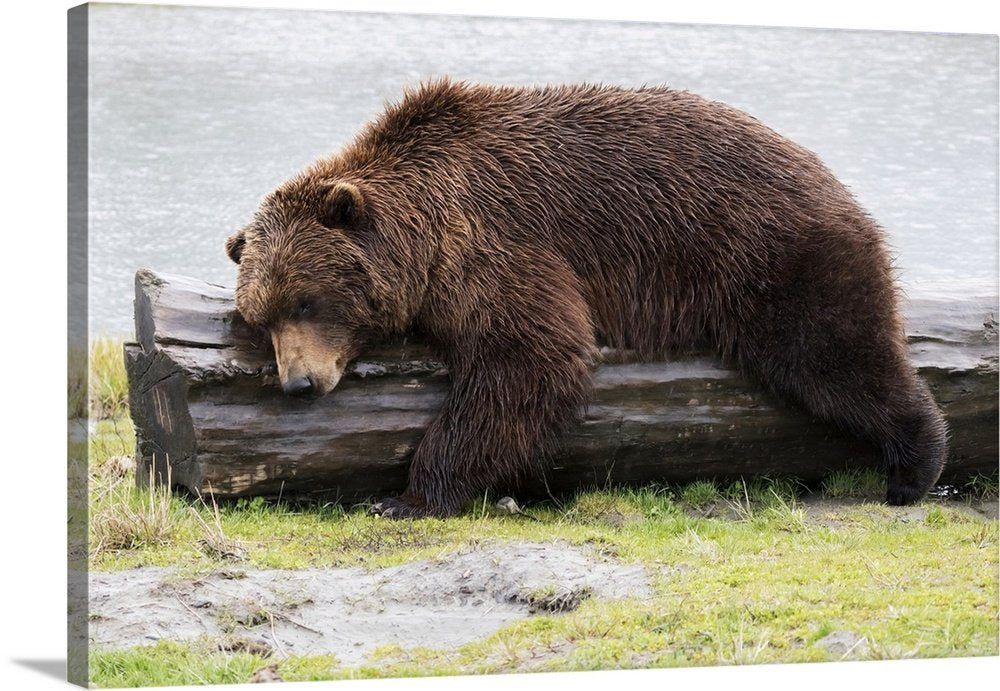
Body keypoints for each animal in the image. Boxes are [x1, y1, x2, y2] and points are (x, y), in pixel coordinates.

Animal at [225, 79, 947, 518]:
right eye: (261, 317)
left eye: (306, 301)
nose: (299, 383)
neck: (424, 232)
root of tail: (832, 176)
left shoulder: (497, 242)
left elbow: (529, 357)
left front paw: (409, 495)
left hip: (772, 254)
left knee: (831, 351)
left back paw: (914, 464)